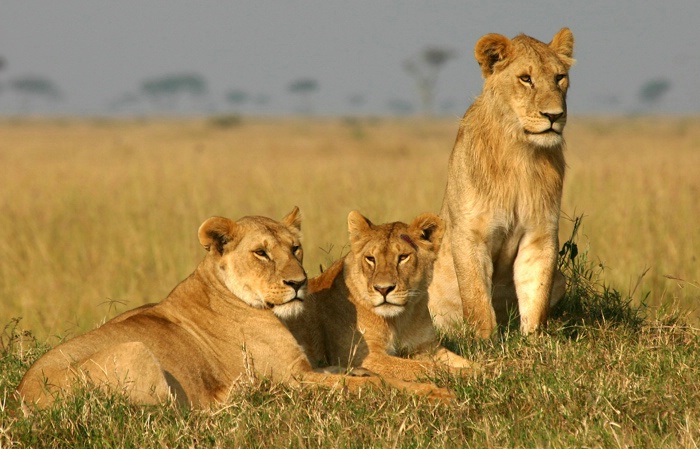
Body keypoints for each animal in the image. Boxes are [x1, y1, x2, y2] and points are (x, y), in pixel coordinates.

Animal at [20, 207, 454, 410]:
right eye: (261, 253)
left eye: (295, 248)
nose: (298, 283)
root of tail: (22, 400)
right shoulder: (294, 378)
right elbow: (373, 383)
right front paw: (435, 392)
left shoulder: (311, 367)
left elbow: (368, 373)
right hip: (134, 350)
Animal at [282, 211, 478, 382]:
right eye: (371, 259)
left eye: (403, 257)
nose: (384, 289)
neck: (400, 319)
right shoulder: (363, 357)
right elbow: (420, 367)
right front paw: (468, 374)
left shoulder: (427, 347)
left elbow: (465, 361)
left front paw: (483, 369)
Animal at [430, 27, 576, 336]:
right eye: (526, 78)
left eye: (559, 77)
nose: (554, 115)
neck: (520, 151)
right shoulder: (470, 234)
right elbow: (476, 297)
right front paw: (483, 340)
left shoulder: (540, 233)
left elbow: (536, 293)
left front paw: (534, 339)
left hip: (561, 279)